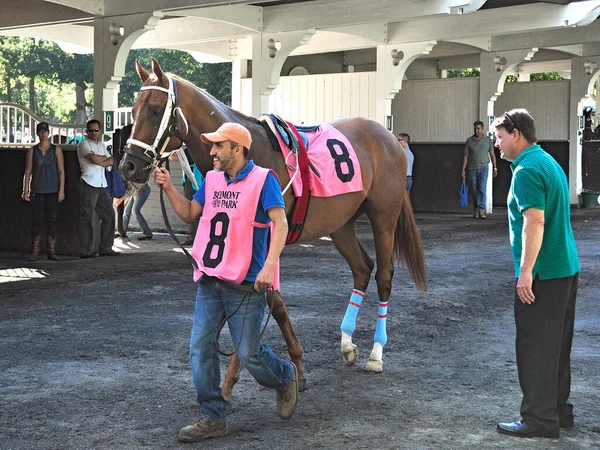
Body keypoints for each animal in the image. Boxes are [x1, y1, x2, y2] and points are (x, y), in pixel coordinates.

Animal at [118, 58, 426, 402]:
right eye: (134, 110)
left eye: (156, 109)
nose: (129, 166)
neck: (251, 154)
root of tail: (388, 137)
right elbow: (261, 301)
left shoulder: (267, 240)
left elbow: (264, 300)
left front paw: (253, 376)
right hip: (340, 223)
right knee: (362, 268)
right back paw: (347, 344)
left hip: (383, 215)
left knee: (384, 276)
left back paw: (376, 354)